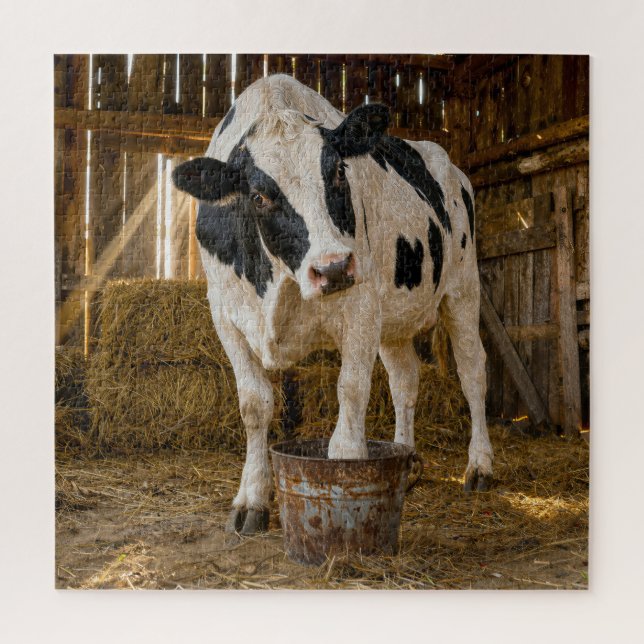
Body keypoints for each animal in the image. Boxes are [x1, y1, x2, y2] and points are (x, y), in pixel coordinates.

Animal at [172, 74, 493, 535]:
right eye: (258, 196)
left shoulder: (360, 305)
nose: (334, 267)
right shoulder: (225, 315)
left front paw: (346, 483)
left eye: (340, 171)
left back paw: (480, 465)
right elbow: (253, 403)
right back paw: (408, 460)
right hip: (393, 317)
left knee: (472, 371)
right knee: (405, 379)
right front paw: (252, 498)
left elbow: (352, 391)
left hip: (462, 289)